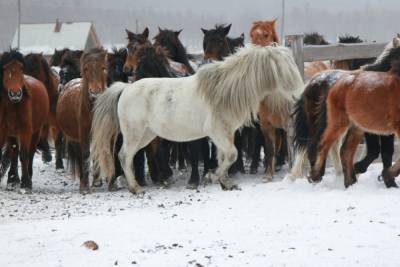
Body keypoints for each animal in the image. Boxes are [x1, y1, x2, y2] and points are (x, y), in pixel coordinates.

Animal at [0, 49, 49, 193]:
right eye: (5, 69)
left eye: (21, 68)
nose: (16, 94)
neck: (13, 106)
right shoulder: (3, 131)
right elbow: (14, 153)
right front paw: (13, 181)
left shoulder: (26, 131)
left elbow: (24, 155)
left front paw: (26, 183)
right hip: (12, 134)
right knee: (14, 152)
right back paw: (13, 180)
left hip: (35, 132)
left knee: (30, 153)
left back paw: (28, 177)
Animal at [55, 48, 108, 194]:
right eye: (86, 68)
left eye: (103, 68)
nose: (95, 91)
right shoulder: (83, 133)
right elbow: (85, 155)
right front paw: (85, 186)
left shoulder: (99, 132)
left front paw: (97, 181)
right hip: (74, 138)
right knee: (79, 156)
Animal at [90, 45, 304, 194]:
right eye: (286, 70)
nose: (300, 93)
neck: (223, 92)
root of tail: (125, 88)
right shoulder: (218, 132)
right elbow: (232, 155)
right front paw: (213, 176)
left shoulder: (225, 134)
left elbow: (224, 157)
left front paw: (225, 182)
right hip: (135, 134)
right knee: (125, 156)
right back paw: (136, 188)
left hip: (146, 135)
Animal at [310, 45, 400, 188]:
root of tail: (335, 83)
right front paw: (387, 176)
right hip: (339, 122)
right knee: (323, 145)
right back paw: (315, 176)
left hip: (356, 127)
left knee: (345, 152)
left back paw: (350, 183)